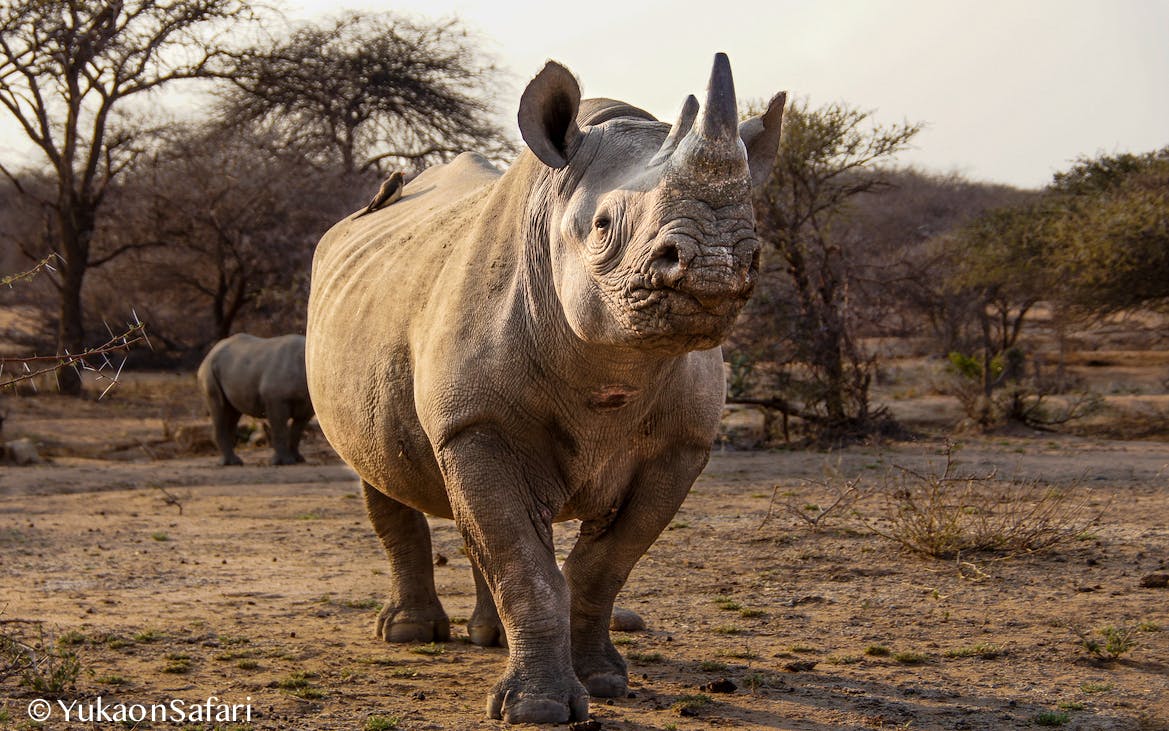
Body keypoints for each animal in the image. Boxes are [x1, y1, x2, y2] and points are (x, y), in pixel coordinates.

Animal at [197, 334, 315, 465]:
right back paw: (230, 463)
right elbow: (280, 430)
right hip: (209, 371)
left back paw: (235, 462)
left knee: (232, 412)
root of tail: (211, 352)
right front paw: (285, 462)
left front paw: (298, 459)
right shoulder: (275, 398)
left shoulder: (308, 404)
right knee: (220, 408)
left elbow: (297, 432)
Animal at [306, 54, 780, 720]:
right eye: (603, 227)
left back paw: (488, 638)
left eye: (753, 228)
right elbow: (521, 562)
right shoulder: (475, 423)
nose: (716, 263)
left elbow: (602, 565)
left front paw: (605, 682)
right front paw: (538, 711)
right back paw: (408, 634)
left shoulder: (681, 445)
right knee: (378, 469)